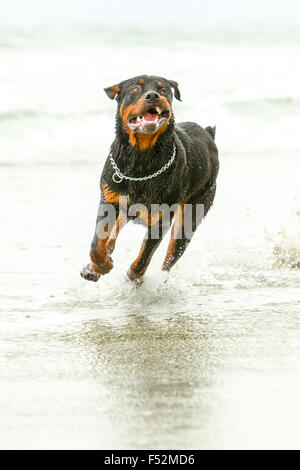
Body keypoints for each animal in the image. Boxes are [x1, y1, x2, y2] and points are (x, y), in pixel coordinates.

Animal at [81, 75, 219, 284]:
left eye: (163, 90)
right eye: (135, 89)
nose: (153, 95)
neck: (141, 159)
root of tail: (208, 134)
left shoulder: (162, 218)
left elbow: (145, 254)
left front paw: (134, 278)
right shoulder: (110, 200)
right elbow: (97, 244)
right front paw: (100, 267)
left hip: (192, 212)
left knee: (171, 256)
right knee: (112, 236)